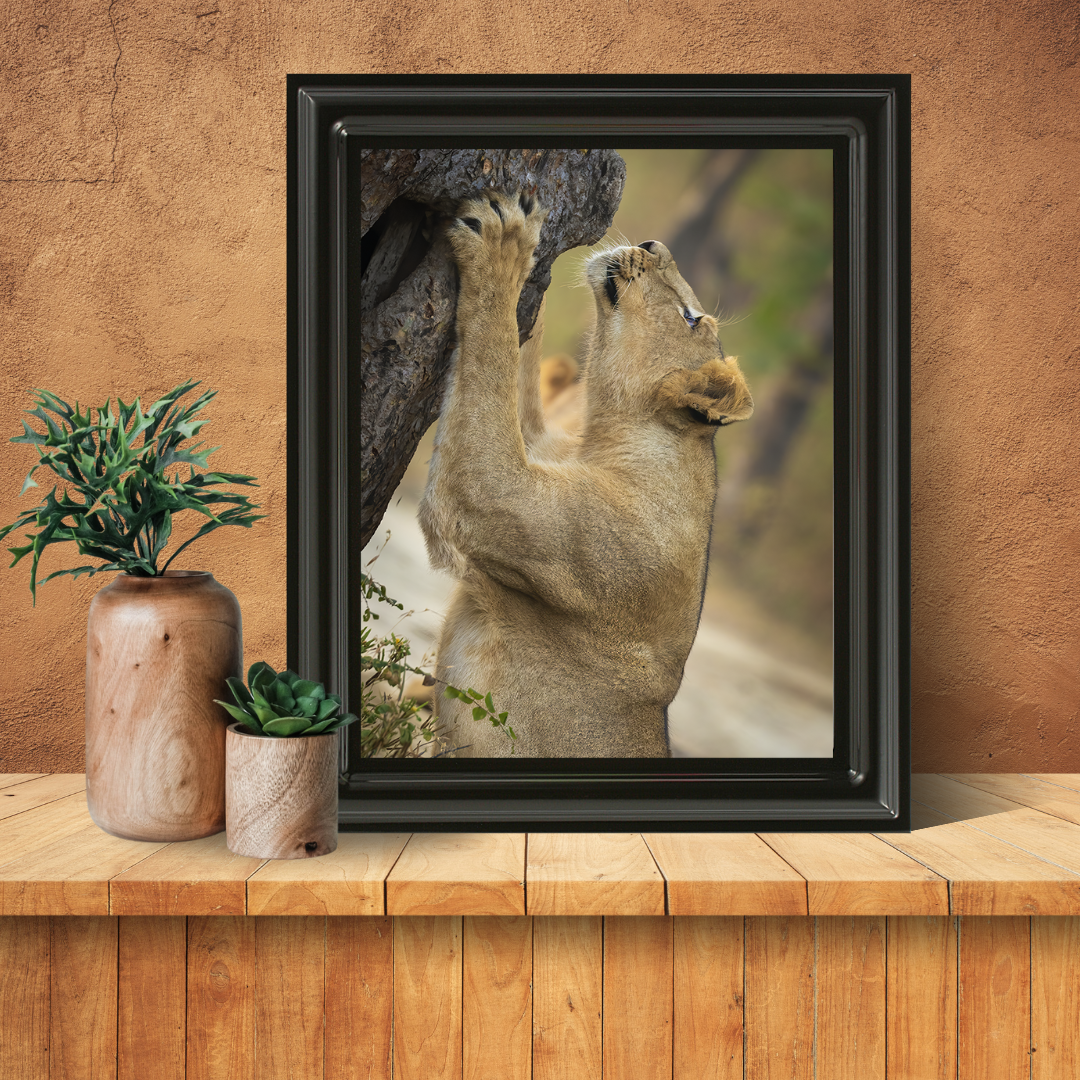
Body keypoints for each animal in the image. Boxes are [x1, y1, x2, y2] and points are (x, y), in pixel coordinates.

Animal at [417, 191, 753, 757]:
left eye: (691, 318)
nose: (653, 244)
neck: (601, 440)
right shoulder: (536, 441)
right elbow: (513, 364)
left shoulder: (493, 496)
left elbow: (494, 353)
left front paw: (504, 248)